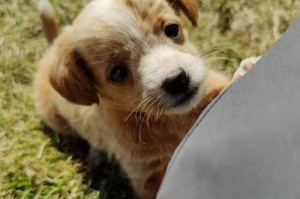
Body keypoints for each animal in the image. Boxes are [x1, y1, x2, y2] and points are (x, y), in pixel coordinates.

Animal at [34, 0, 255, 197]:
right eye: (118, 73)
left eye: (173, 29)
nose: (176, 80)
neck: (172, 119)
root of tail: (53, 46)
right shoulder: (148, 177)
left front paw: (244, 69)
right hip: (56, 120)